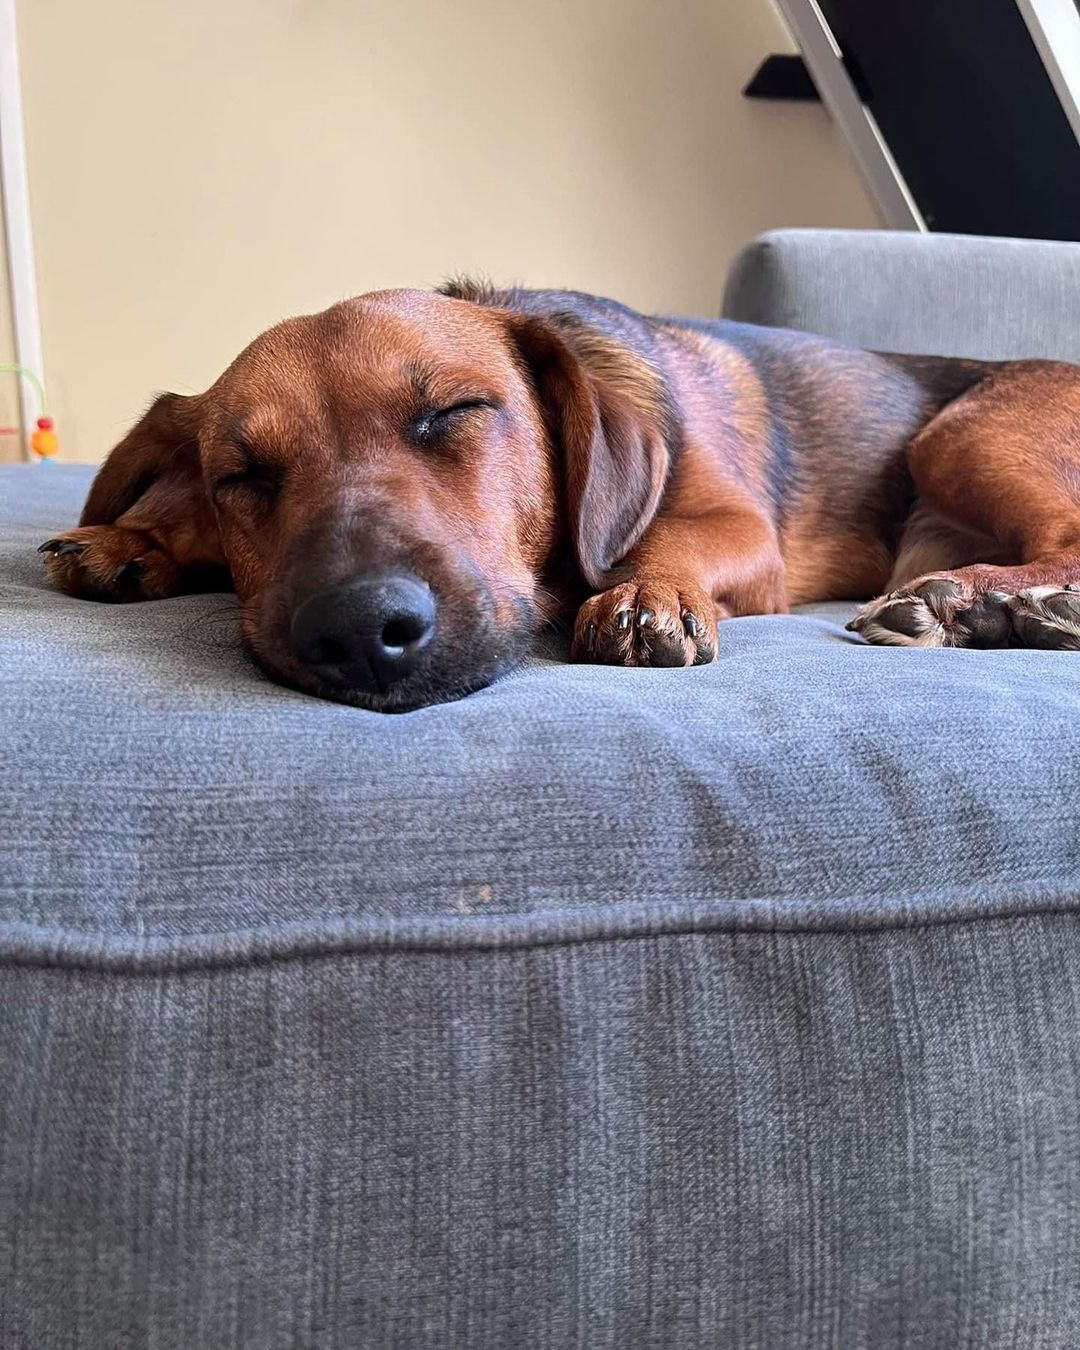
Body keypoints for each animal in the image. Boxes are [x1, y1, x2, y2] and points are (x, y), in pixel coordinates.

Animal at [37, 280, 1080, 712]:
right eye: (241, 478)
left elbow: (663, 547)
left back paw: (993, 599)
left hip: (960, 435)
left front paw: (645, 593)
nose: (359, 632)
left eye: (455, 411)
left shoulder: (742, 533)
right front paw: (134, 538)